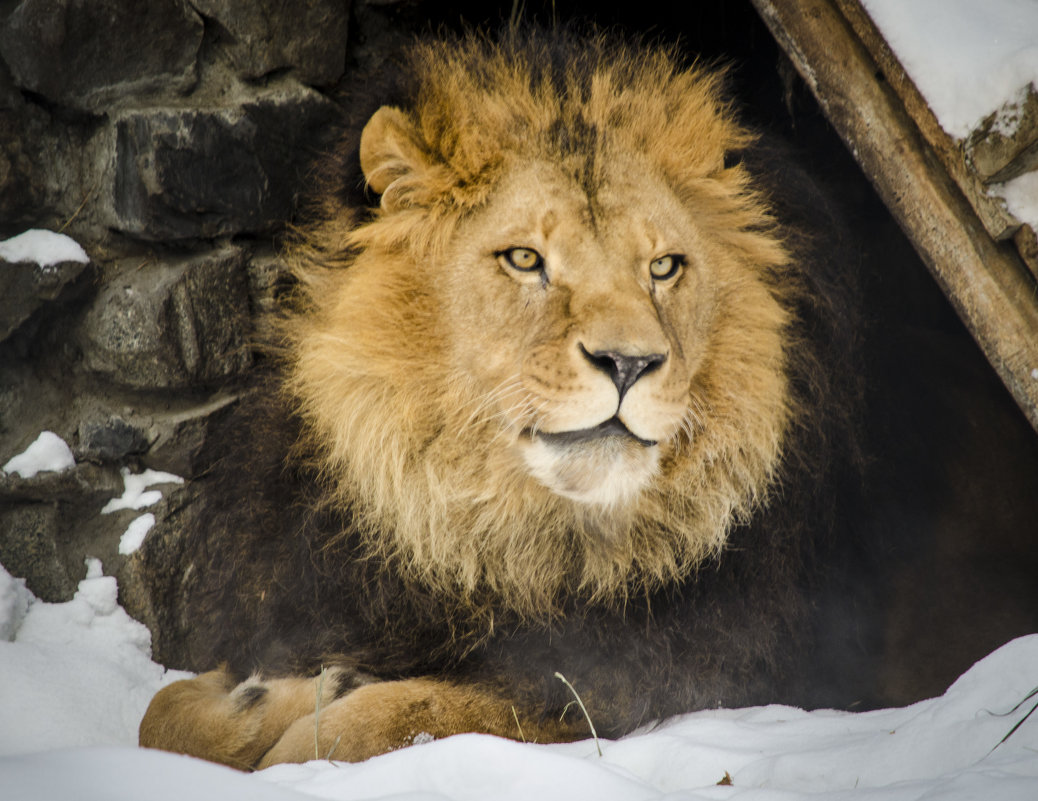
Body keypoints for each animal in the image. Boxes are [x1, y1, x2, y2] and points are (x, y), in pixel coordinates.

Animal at [138, 32, 867, 767]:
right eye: (524, 259)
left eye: (663, 267)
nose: (629, 362)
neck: (503, 545)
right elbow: (160, 714)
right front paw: (261, 700)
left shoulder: (632, 681)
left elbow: (388, 720)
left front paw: (316, 709)